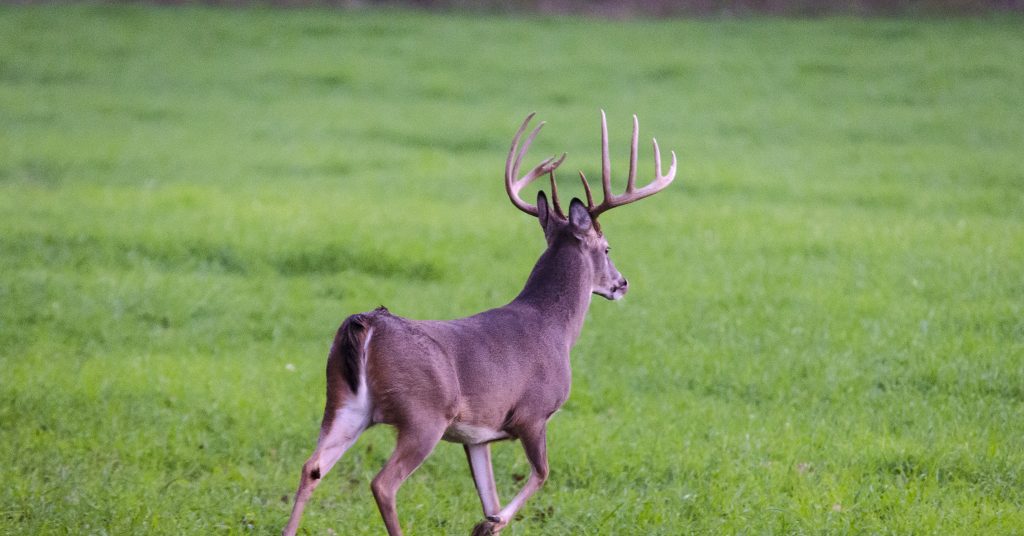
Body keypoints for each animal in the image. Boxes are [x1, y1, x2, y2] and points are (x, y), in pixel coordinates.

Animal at [282, 111, 677, 536]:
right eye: (606, 248)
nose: (622, 283)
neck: (555, 327)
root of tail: (366, 323)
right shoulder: (532, 414)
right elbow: (541, 474)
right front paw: (487, 523)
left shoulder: (477, 437)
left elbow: (491, 495)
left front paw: (487, 522)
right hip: (423, 415)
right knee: (383, 484)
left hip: (343, 403)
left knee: (312, 467)